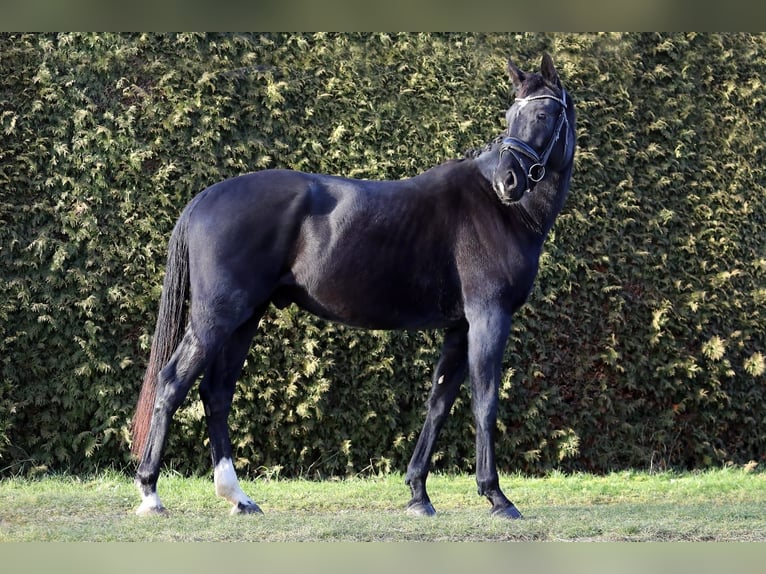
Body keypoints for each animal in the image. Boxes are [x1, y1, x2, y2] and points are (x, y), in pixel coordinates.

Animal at [132, 54, 576, 520]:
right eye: (511, 116)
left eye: (541, 114)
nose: (509, 181)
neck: (499, 211)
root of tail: (204, 199)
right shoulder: (489, 317)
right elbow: (485, 401)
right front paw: (496, 496)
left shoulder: (461, 327)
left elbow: (438, 402)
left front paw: (418, 493)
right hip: (216, 318)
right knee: (171, 383)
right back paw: (150, 492)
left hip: (244, 319)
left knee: (216, 394)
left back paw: (238, 496)